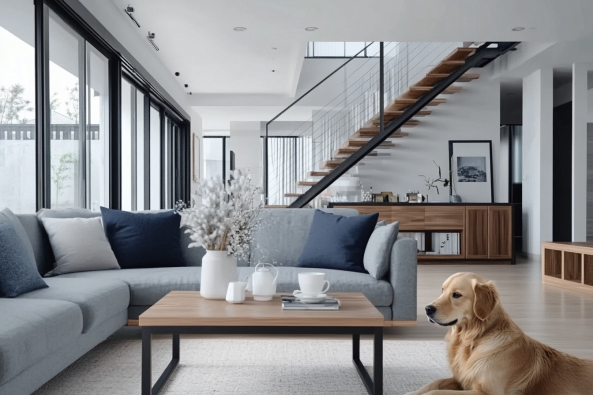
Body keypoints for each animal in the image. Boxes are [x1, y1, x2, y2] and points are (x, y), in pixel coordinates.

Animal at [404, 272, 592, 395]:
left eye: (456, 295)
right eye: (442, 290)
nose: (427, 309)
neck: (472, 340)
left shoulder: (487, 392)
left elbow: (436, 392)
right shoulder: (461, 380)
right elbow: (433, 383)